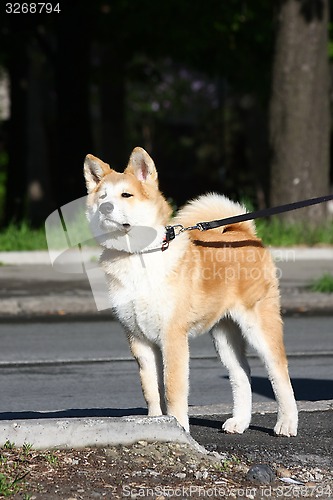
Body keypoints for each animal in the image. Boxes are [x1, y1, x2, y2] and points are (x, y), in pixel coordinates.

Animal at [84, 146, 296, 436]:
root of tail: (242, 231)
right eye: (102, 196)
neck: (138, 257)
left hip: (259, 327)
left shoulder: (172, 337)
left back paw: (286, 422)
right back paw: (239, 421)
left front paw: (178, 425)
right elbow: (151, 390)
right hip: (224, 335)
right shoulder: (139, 341)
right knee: (241, 374)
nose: (105, 207)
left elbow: (173, 389)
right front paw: (154, 424)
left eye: (126, 195)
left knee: (279, 372)